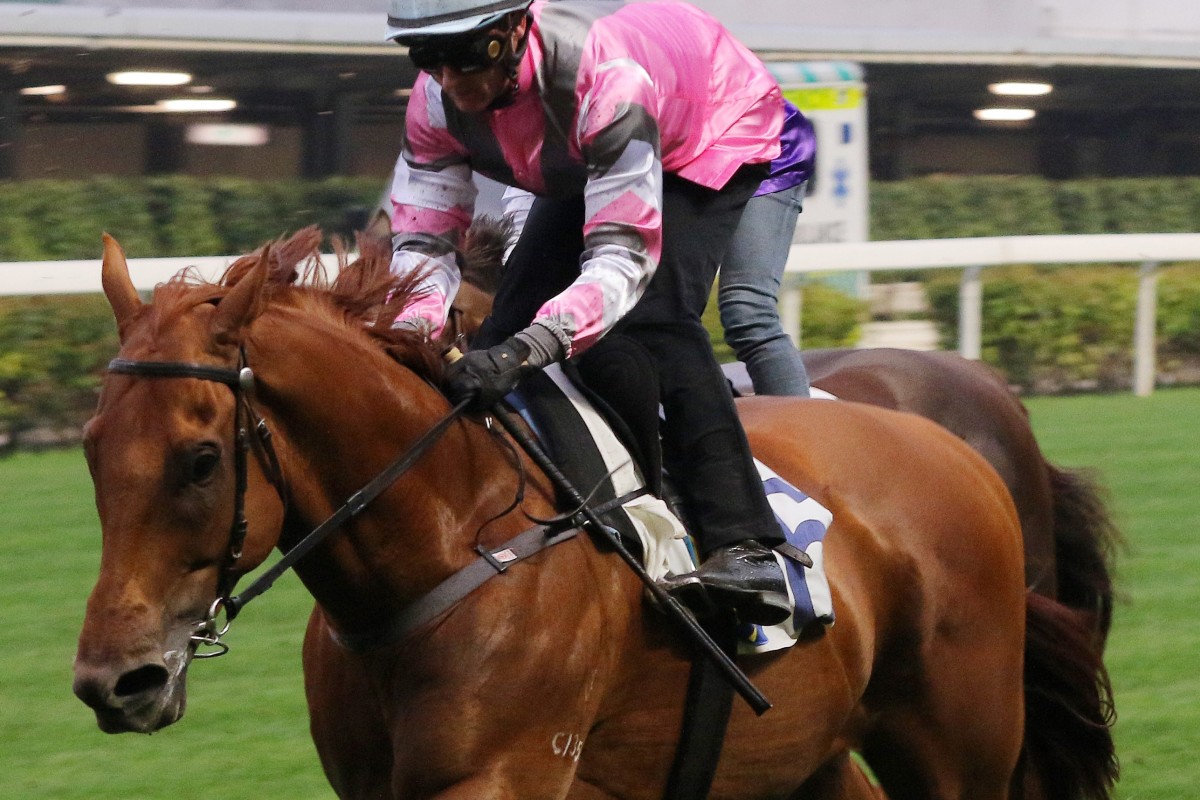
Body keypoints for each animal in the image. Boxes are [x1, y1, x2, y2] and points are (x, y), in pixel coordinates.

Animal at [72, 227, 1113, 796]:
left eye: (201, 459)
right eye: (90, 446)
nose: (113, 682)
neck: (445, 541)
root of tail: (963, 443)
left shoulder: (502, 775)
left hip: (958, 746)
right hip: (806, 756)